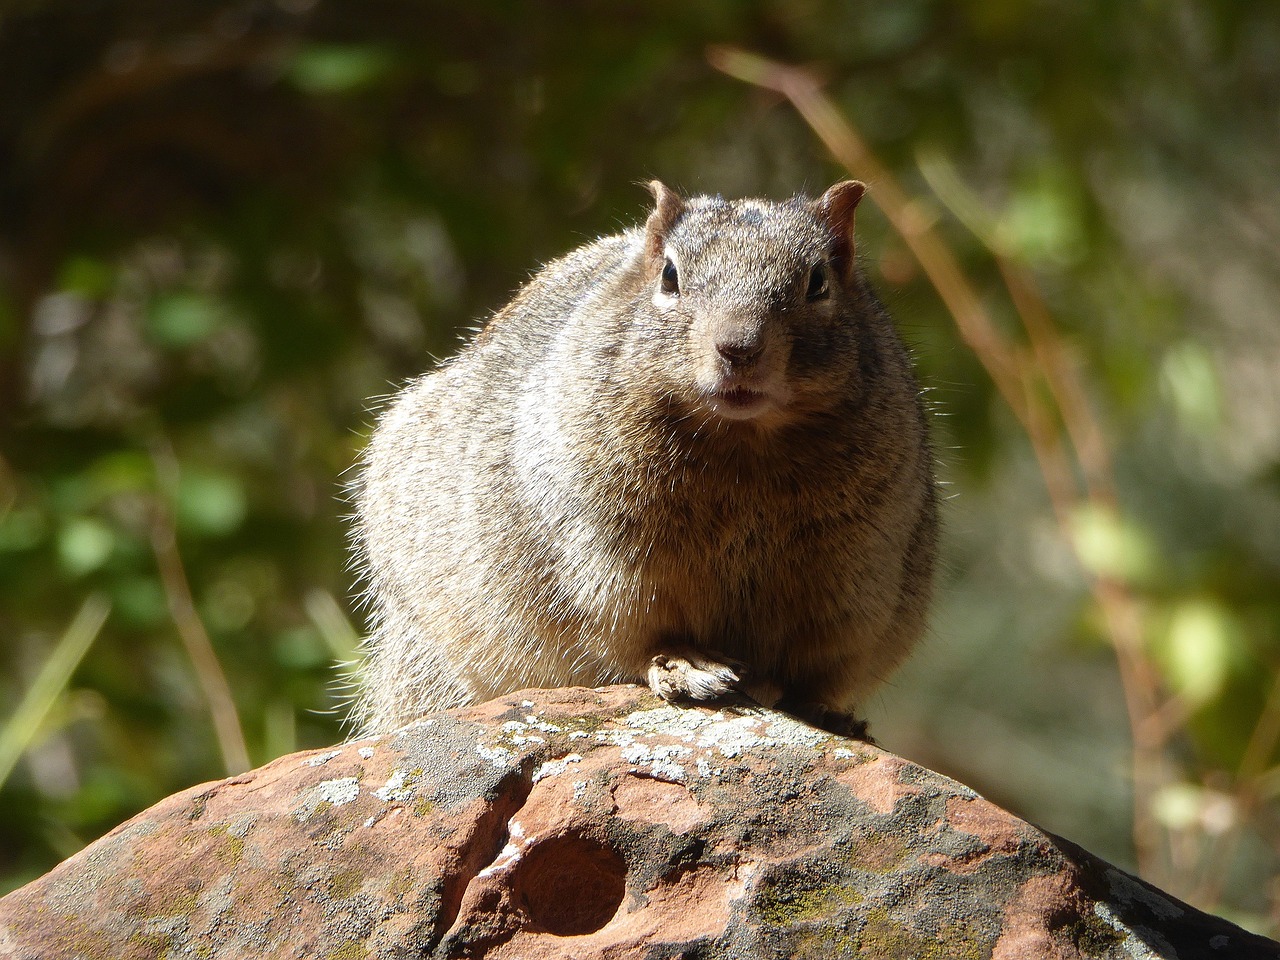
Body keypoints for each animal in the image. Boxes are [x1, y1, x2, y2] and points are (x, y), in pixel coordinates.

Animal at [350, 179, 942, 737]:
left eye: (818, 281)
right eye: (670, 277)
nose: (739, 349)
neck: (744, 444)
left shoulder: (853, 583)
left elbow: (816, 667)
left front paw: (813, 704)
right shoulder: (611, 561)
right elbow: (642, 633)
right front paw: (685, 664)